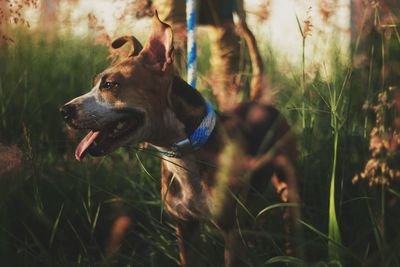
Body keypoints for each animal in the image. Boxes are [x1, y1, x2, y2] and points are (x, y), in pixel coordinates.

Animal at [58, 11, 296, 266]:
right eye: (95, 83)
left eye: (110, 85)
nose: (64, 111)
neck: (185, 151)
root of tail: (260, 103)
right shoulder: (185, 229)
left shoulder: (231, 234)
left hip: (287, 185)